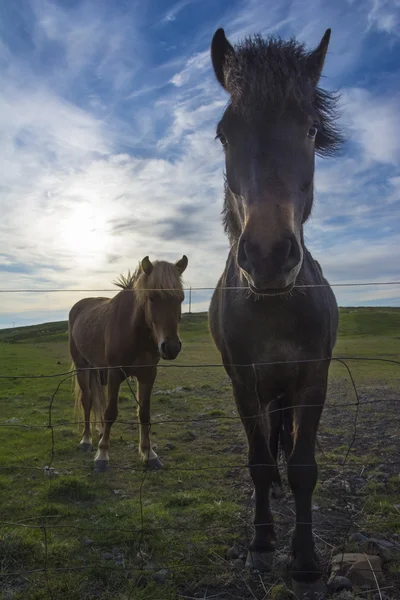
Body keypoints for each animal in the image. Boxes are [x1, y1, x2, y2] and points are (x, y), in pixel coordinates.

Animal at [69, 255, 188, 472]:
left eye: (181, 298)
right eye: (152, 297)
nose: (171, 347)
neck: (134, 331)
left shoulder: (148, 374)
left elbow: (144, 414)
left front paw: (149, 454)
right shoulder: (115, 374)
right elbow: (110, 412)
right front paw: (102, 455)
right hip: (83, 367)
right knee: (87, 401)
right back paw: (87, 440)